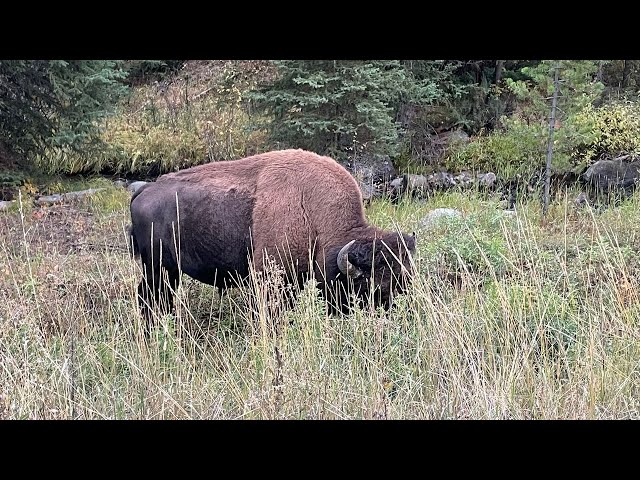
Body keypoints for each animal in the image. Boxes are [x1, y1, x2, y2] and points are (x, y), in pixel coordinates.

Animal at [129, 148, 418, 320]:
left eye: (406, 279)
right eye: (374, 288)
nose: (401, 316)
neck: (312, 211)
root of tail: (144, 190)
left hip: (169, 271)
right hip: (157, 268)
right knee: (150, 297)